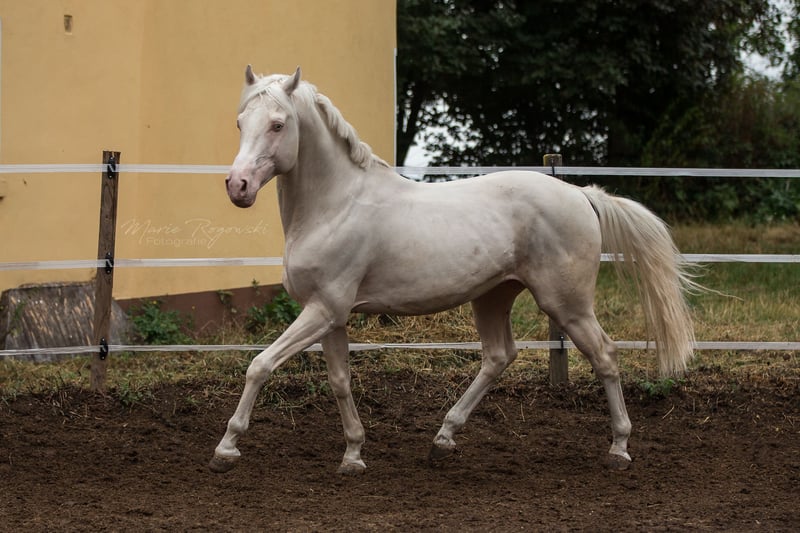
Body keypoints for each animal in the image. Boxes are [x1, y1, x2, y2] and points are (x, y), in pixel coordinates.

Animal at [210, 65, 697, 475]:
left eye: (278, 124)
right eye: (239, 123)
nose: (237, 186)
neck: (335, 205)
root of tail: (581, 194)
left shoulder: (323, 310)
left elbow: (260, 365)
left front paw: (226, 448)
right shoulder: (331, 315)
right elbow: (340, 381)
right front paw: (353, 454)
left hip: (567, 304)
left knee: (606, 356)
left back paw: (619, 448)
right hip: (494, 296)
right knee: (499, 356)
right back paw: (442, 439)